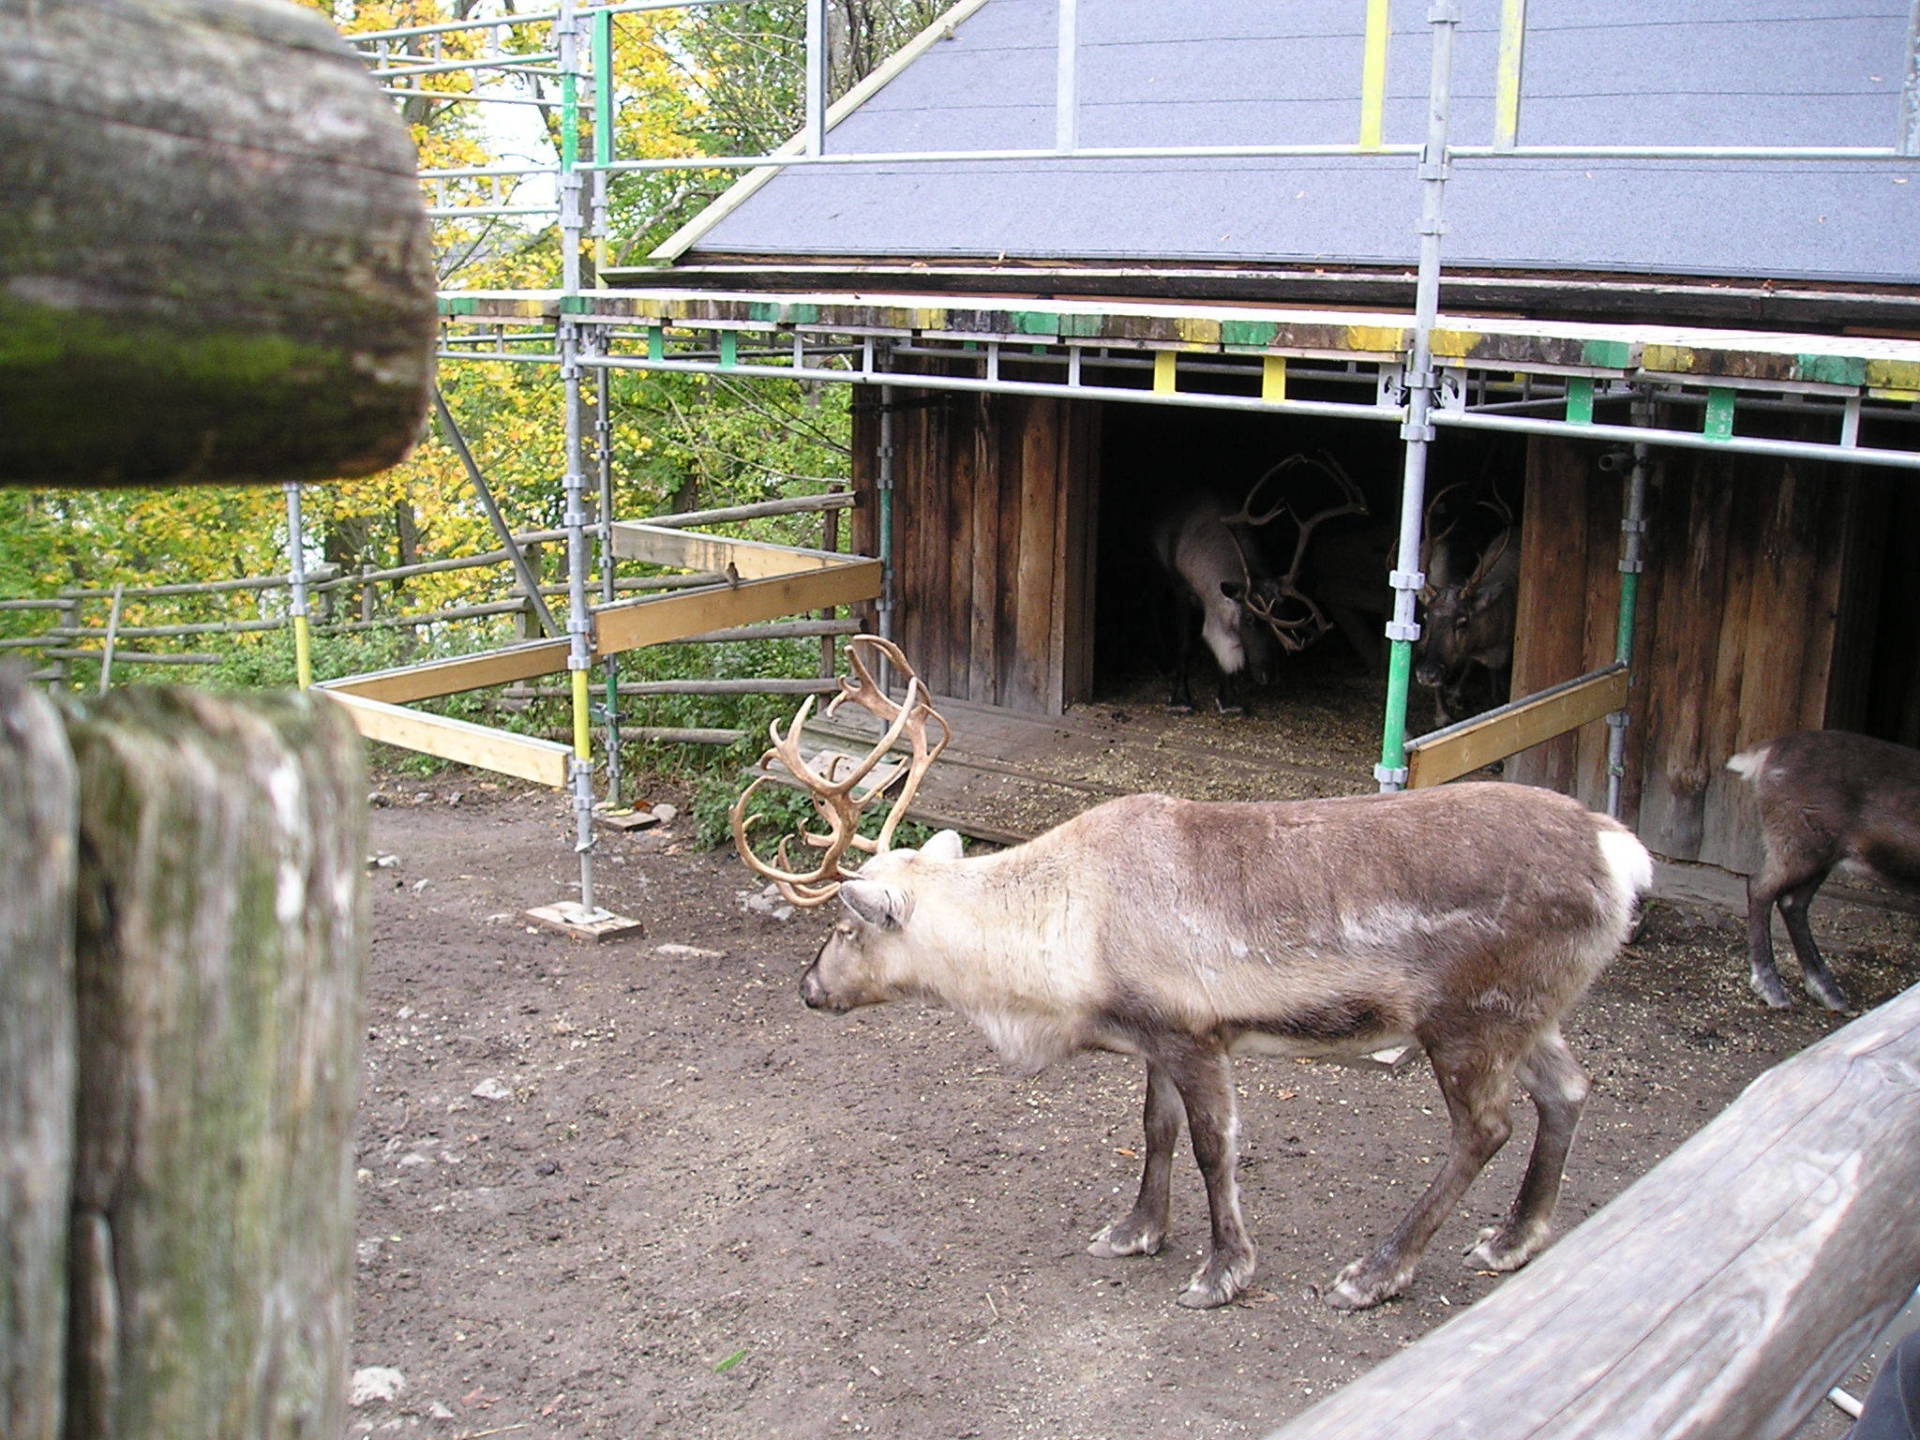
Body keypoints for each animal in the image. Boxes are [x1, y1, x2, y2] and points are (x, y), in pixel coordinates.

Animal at [734, 636, 1653, 1312]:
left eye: (845, 927)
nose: (808, 988)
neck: (1060, 940)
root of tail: (1620, 854)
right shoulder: (1155, 1036)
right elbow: (1156, 1129)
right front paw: (1135, 1230)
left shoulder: (1196, 1032)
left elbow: (1216, 1146)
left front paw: (1223, 1271)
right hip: (1530, 1011)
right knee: (1568, 1090)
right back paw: (1513, 1239)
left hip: (1468, 1018)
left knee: (1485, 1128)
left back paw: (1377, 1271)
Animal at [1149, 453, 1367, 713]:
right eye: (1249, 618)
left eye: (1283, 615)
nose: (1268, 676)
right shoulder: (1182, 590)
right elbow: (1185, 645)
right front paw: (1180, 699)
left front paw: (1229, 700)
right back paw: (1163, 663)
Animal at [1726, 730, 1920, 1011]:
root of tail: (1765, 753)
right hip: (1799, 842)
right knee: (1760, 887)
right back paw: (1771, 987)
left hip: (1822, 853)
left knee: (1792, 901)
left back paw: (1826, 990)